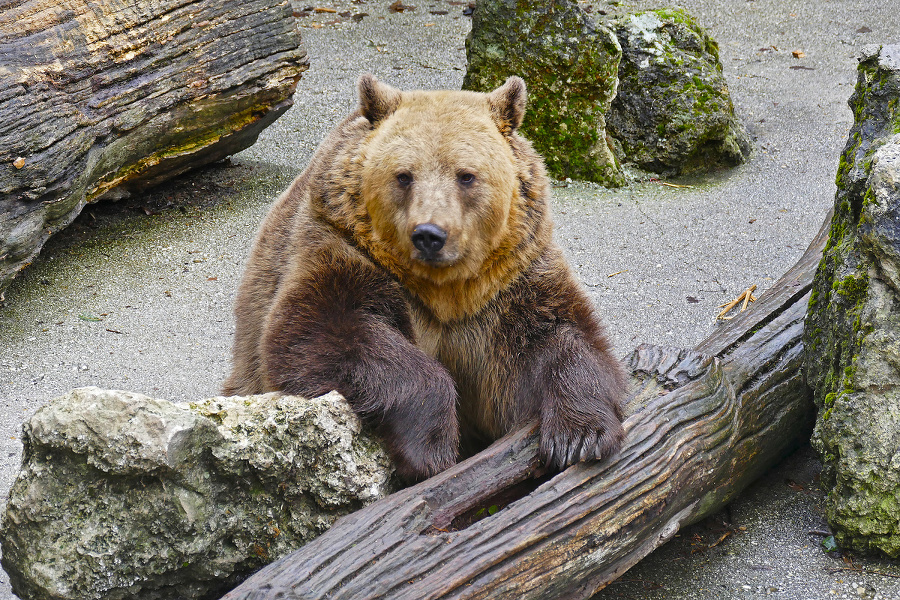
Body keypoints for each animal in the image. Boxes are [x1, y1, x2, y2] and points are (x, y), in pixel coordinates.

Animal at [223, 75, 624, 480]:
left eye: (466, 176)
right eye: (404, 175)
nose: (430, 234)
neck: (447, 291)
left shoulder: (512, 280)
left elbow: (559, 336)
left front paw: (579, 436)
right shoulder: (343, 247)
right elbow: (322, 331)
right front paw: (431, 448)